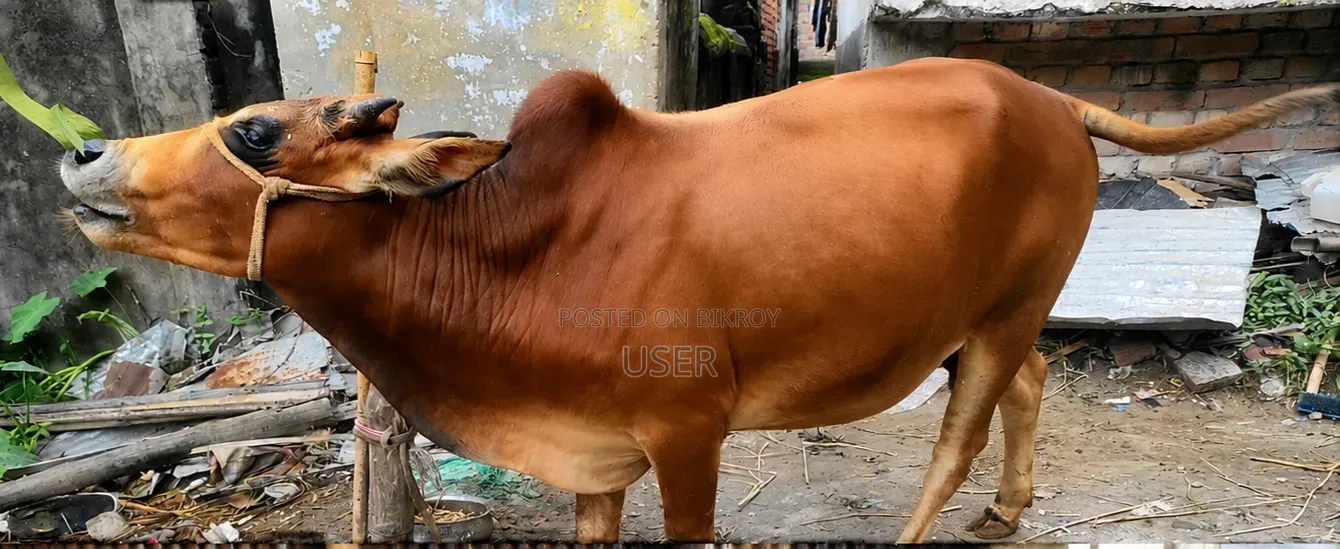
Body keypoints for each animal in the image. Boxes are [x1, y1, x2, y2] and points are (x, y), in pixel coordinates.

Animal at [57, 57, 1337, 543]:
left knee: (959, 435)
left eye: (252, 131)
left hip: (1006, 310)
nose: (80, 153)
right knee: (1023, 386)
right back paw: (1007, 512)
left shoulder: (685, 434)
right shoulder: (589, 451)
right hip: (989, 316)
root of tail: (1048, 96)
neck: (501, 256)